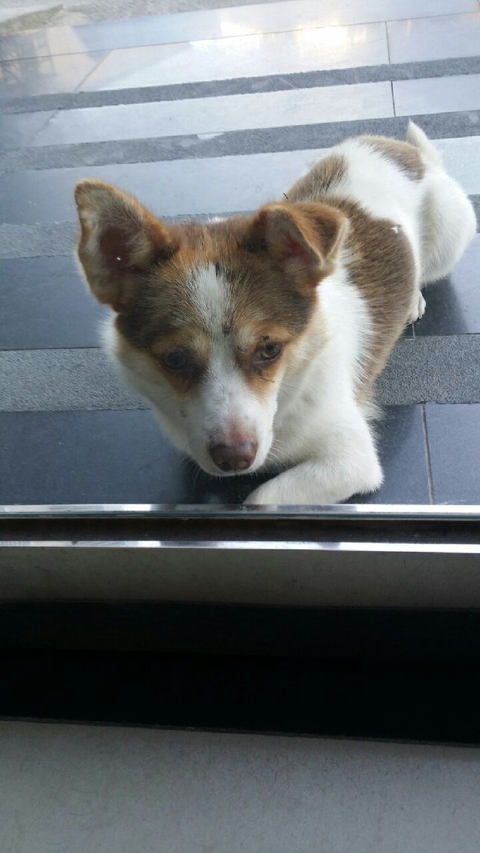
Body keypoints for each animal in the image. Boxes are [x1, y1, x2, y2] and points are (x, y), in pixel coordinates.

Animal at [74, 122, 476, 505]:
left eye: (269, 349)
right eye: (174, 358)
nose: (234, 458)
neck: (290, 386)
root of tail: (405, 151)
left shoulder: (351, 460)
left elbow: (261, 498)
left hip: (451, 231)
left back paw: (413, 298)